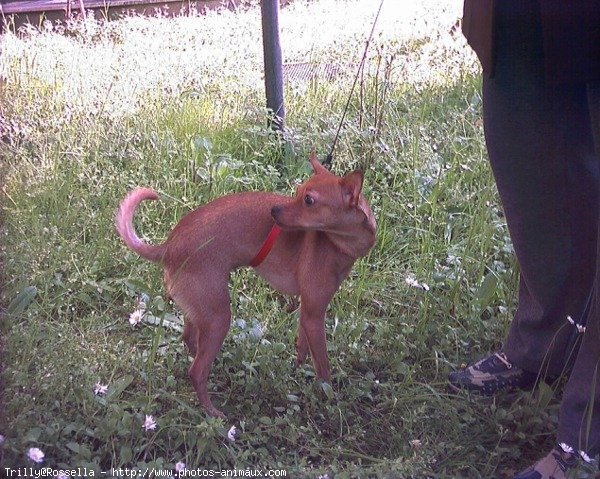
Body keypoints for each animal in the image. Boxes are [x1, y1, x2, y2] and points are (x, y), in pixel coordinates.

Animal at [116, 153, 376, 416]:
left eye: (308, 200)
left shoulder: (308, 312)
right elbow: (323, 368)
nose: (274, 210)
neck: (341, 244)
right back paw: (212, 412)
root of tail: (169, 247)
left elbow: (303, 347)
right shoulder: (315, 315)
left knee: (190, 340)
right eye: (299, 193)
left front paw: (299, 369)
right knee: (196, 371)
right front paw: (328, 400)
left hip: (199, 310)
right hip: (218, 318)